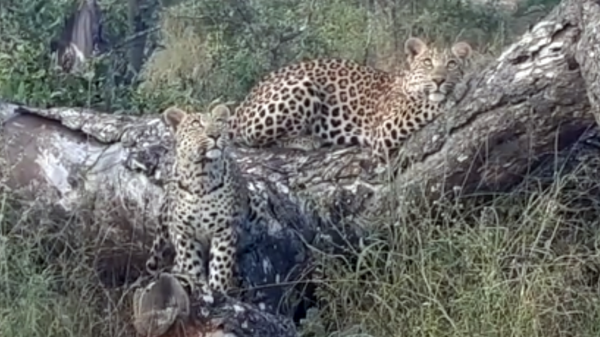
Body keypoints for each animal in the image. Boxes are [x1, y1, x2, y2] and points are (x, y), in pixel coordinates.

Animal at [226, 36, 474, 161]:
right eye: (427, 63)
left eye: (452, 64)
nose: (439, 80)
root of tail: (244, 102)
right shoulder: (384, 130)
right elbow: (425, 105)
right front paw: (457, 91)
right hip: (301, 85)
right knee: (253, 139)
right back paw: (307, 140)